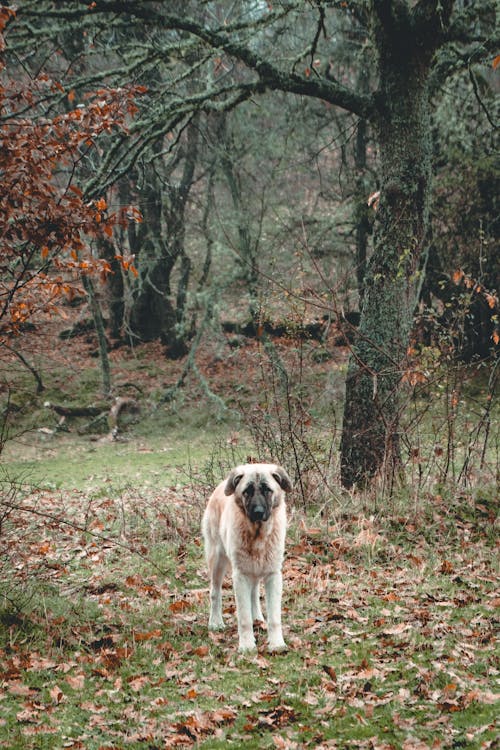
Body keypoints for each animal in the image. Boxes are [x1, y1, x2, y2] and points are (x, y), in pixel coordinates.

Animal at [201, 464, 292, 652]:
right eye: (247, 491)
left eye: (267, 490)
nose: (258, 512)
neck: (258, 535)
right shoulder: (240, 576)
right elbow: (243, 618)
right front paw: (247, 645)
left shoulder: (273, 575)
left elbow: (274, 616)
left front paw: (277, 643)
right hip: (218, 561)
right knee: (215, 592)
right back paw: (215, 622)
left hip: (254, 567)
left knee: (254, 593)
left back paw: (257, 617)